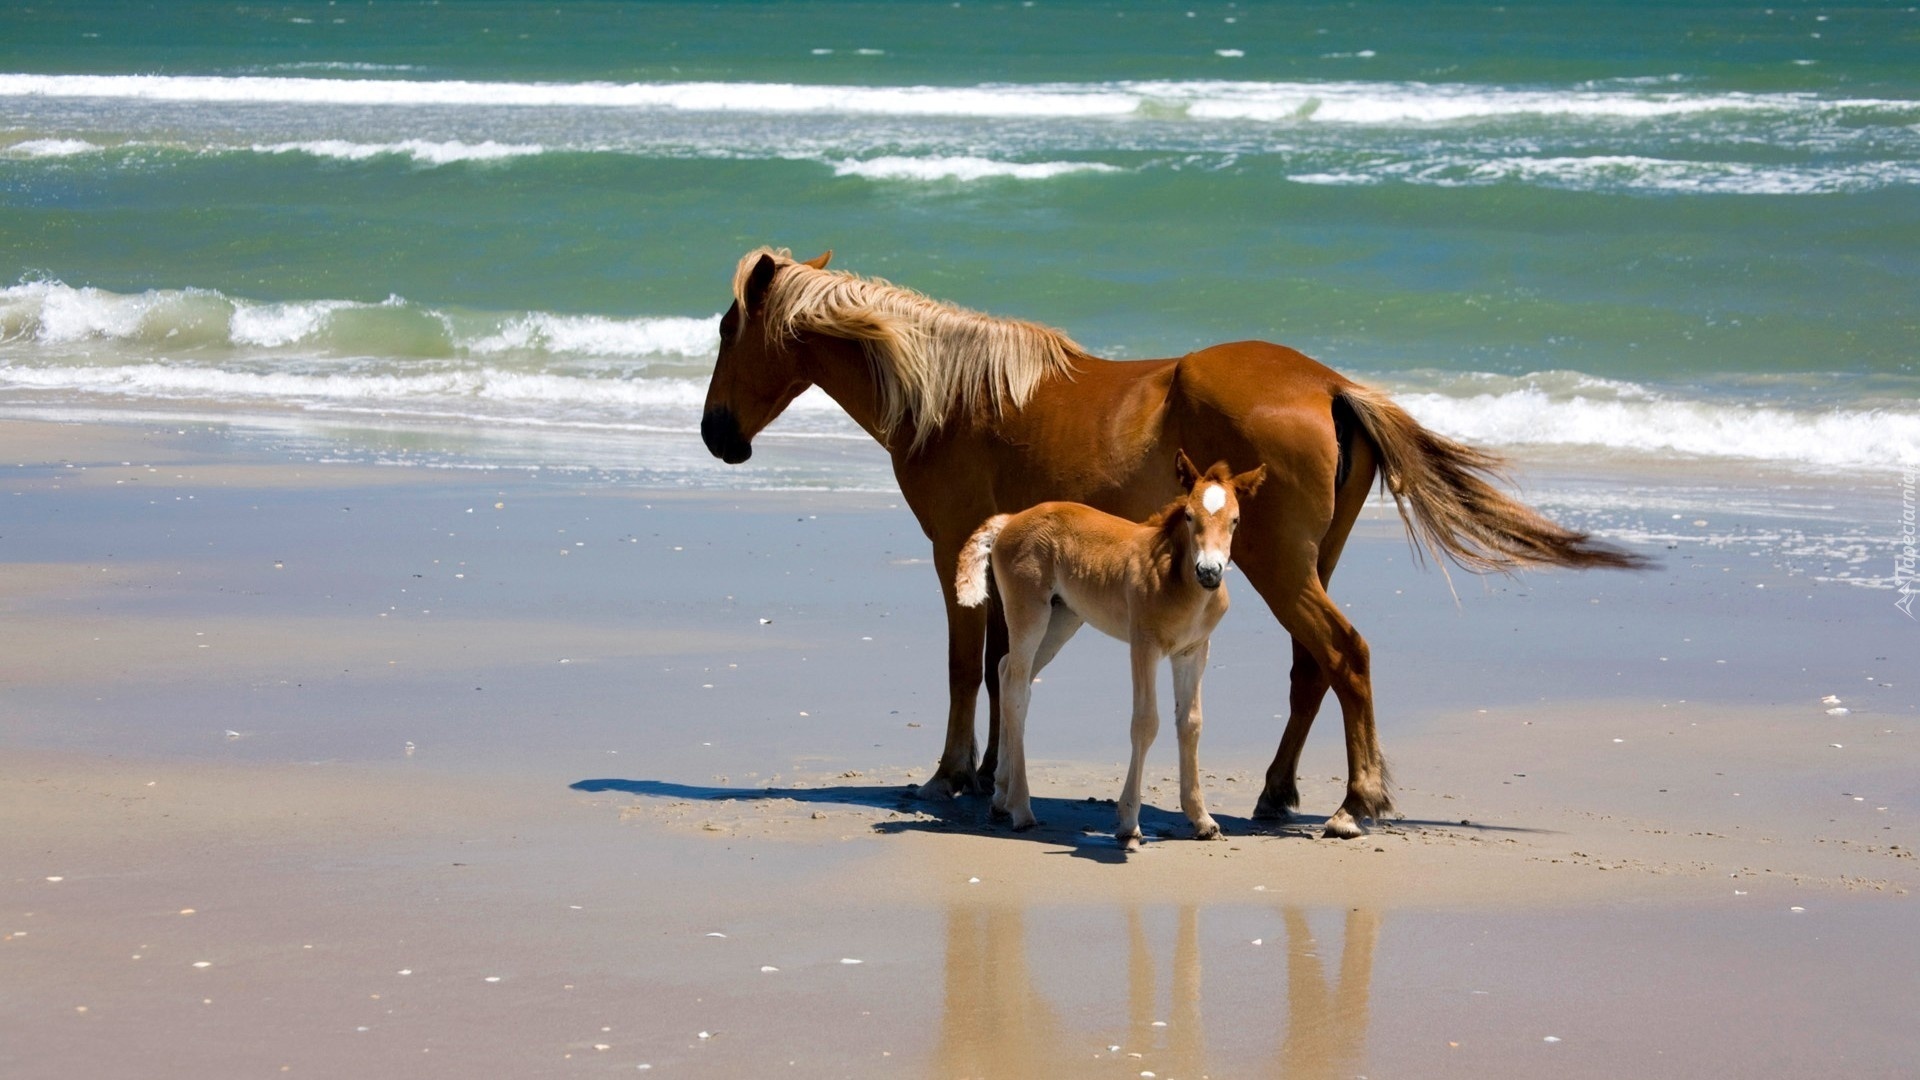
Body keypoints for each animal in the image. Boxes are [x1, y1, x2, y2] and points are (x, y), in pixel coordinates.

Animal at [956, 449, 1259, 845]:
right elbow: (1145, 722)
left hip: (1063, 620)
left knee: (1008, 673)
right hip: (1029, 615)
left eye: (1236, 520)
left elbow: (1191, 723)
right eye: (1190, 516)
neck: (1178, 582)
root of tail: (1009, 520)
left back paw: (1001, 797)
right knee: (1017, 688)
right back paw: (1021, 809)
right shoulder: (1144, 646)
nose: (1209, 571)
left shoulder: (1192, 652)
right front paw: (1128, 822)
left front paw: (1202, 820)